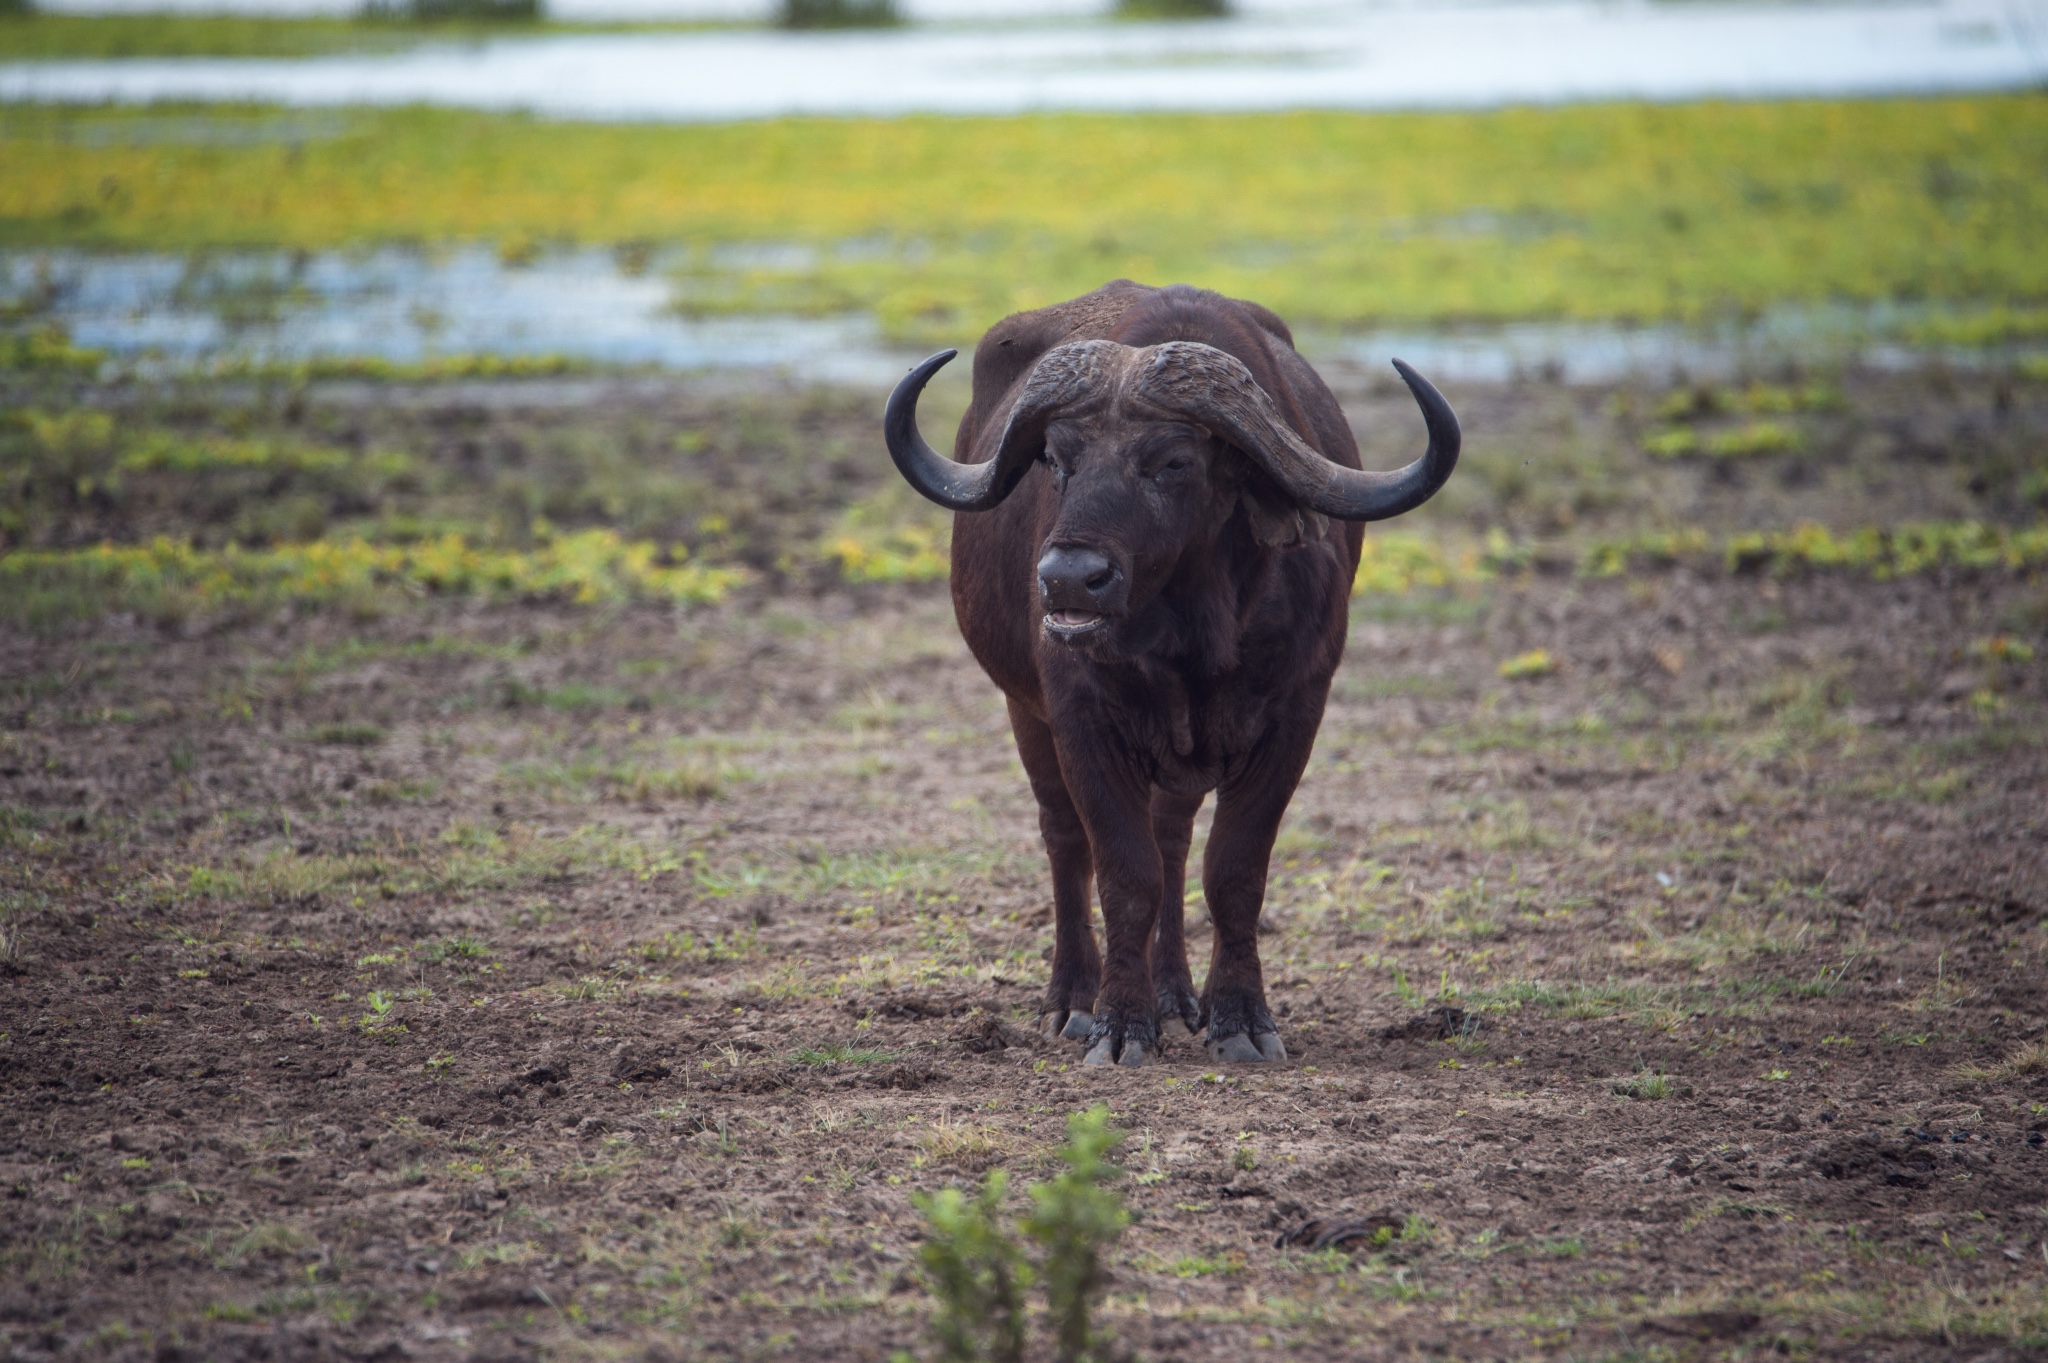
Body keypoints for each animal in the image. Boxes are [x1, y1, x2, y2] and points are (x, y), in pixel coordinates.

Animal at [884, 278, 1458, 1064]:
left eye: (1174, 462)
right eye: (1056, 458)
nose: (1068, 579)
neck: (1192, 639)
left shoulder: (1295, 718)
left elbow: (1233, 870)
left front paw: (1240, 1018)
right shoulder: (1081, 720)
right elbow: (1124, 872)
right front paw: (1120, 1024)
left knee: (1174, 840)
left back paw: (1176, 993)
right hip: (1024, 710)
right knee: (1065, 838)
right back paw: (1073, 999)